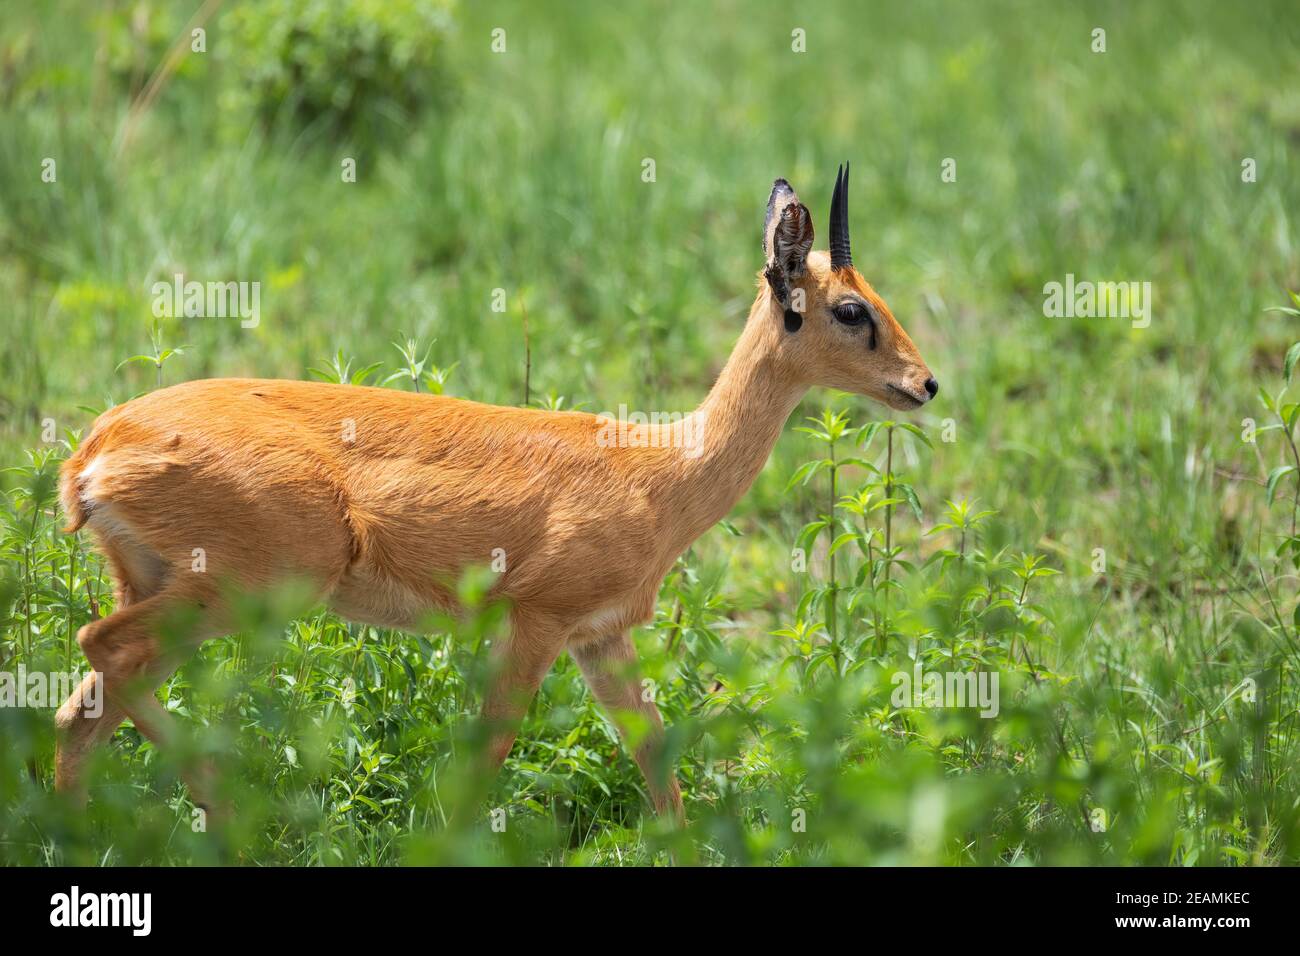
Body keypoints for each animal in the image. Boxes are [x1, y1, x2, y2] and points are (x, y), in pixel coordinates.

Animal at [55, 164, 941, 822]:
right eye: (851, 308)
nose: (925, 383)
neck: (656, 470)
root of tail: (95, 451)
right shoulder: (535, 624)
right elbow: (487, 757)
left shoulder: (600, 636)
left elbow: (655, 755)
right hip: (251, 588)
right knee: (104, 651)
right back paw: (233, 811)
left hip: (166, 585)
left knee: (82, 704)